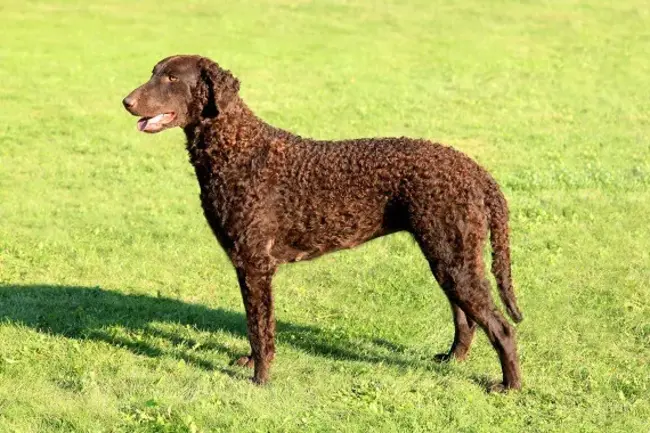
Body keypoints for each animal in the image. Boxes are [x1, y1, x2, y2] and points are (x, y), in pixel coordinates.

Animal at [124, 55, 524, 390]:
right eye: (153, 72)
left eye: (172, 78)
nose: (126, 101)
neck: (238, 150)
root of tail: (476, 171)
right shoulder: (248, 266)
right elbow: (257, 323)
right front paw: (252, 363)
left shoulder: (256, 263)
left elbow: (259, 326)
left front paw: (260, 379)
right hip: (448, 258)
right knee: (466, 319)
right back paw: (451, 360)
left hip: (453, 259)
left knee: (502, 328)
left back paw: (509, 386)